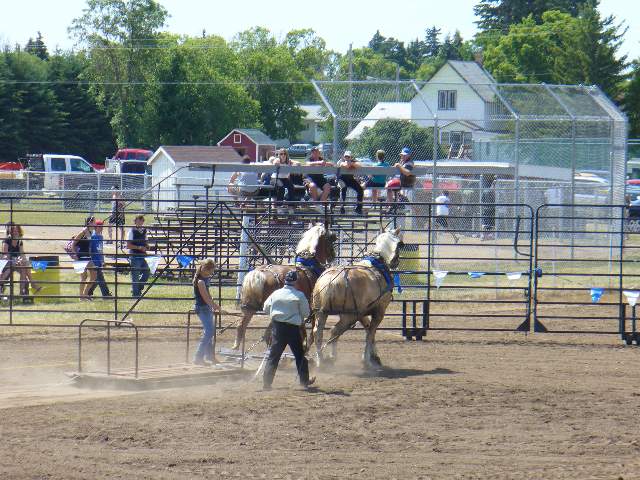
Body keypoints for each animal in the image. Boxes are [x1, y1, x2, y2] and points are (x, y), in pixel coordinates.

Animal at [308, 227, 402, 370]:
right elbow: (370, 334)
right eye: (399, 244)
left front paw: (375, 357)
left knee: (317, 333)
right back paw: (331, 357)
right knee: (334, 331)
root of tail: (330, 281)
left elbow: (369, 330)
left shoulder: (362, 313)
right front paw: (367, 360)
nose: (395, 262)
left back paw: (321, 360)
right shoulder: (379, 311)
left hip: (321, 312)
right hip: (348, 316)